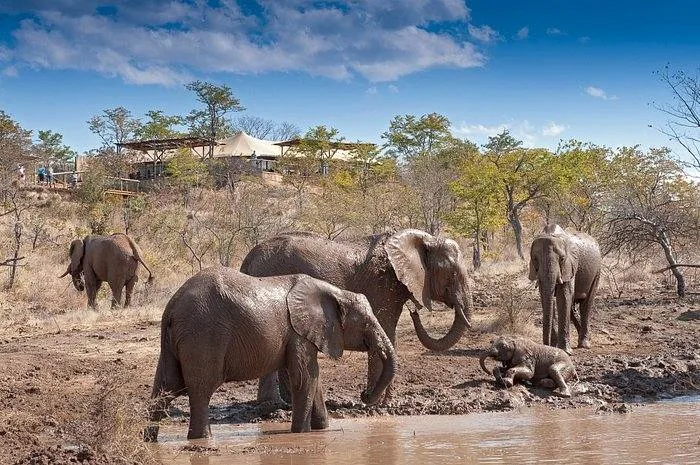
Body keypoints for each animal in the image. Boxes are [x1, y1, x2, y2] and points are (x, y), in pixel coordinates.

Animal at [143, 267, 396, 440]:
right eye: (366, 324)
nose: (364, 395)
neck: (335, 293)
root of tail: (172, 307)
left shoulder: (300, 334)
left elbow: (314, 379)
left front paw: (322, 430)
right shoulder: (299, 333)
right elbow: (305, 378)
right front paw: (301, 434)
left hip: (175, 340)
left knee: (166, 387)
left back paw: (148, 439)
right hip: (203, 334)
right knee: (201, 390)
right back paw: (202, 440)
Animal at [240, 229, 473, 405]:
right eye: (452, 274)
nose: (413, 311)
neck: (423, 238)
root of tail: (247, 259)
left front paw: (384, 403)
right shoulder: (382, 285)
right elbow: (385, 330)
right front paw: (379, 406)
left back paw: (284, 405)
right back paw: (272, 406)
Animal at [528, 224, 601, 354]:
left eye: (562, 258)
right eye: (535, 259)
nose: (546, 346)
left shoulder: (570, 265)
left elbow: (564, 296)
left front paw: (565, 351)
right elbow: (546, 297)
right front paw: (554, 347)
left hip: (597, 271)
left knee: (586, 305)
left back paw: (584, 344)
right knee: (572, 308)